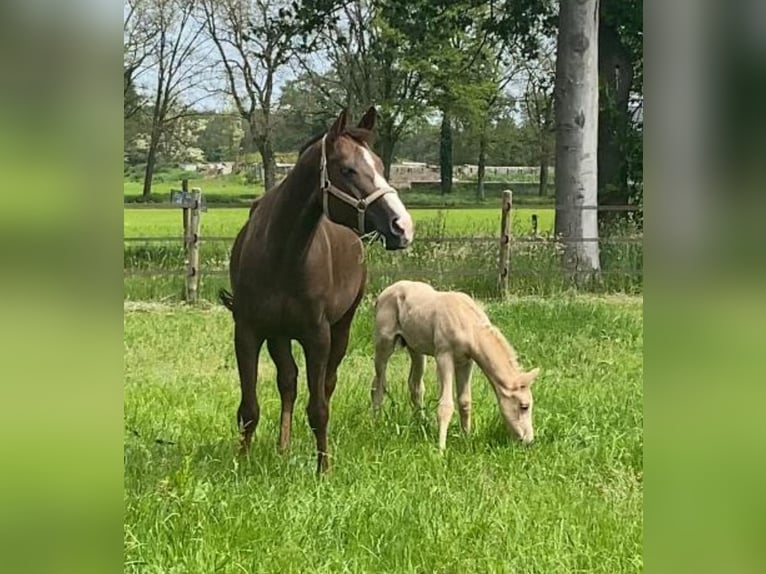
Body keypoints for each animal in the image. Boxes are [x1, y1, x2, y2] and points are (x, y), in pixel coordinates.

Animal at [219, 107, 414, 473]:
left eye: (380, 165)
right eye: (348, 169)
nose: (402, 227)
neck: (280, 252)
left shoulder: (317, 336)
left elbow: (319, 407)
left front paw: (323, 469)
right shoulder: (248, 330)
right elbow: (249, 408)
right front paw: (240, 462)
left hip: (341, 329)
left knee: (326, 384)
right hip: (279, 334)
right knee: (288, 381)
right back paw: (283, 446)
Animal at [371, 280, 540, 450]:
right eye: (524, 406)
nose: (529, 441)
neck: (468, 323)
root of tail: (383, 294)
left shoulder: (466, 361)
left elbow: (465, 401)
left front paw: (466, 438)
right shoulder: (443, 355)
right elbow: (445, 404)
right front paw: (441, 449)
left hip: (416, 349)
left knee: (415, 385)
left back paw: (422, 424)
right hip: (384, 343)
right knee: (378, 383)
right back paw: (377, 422)